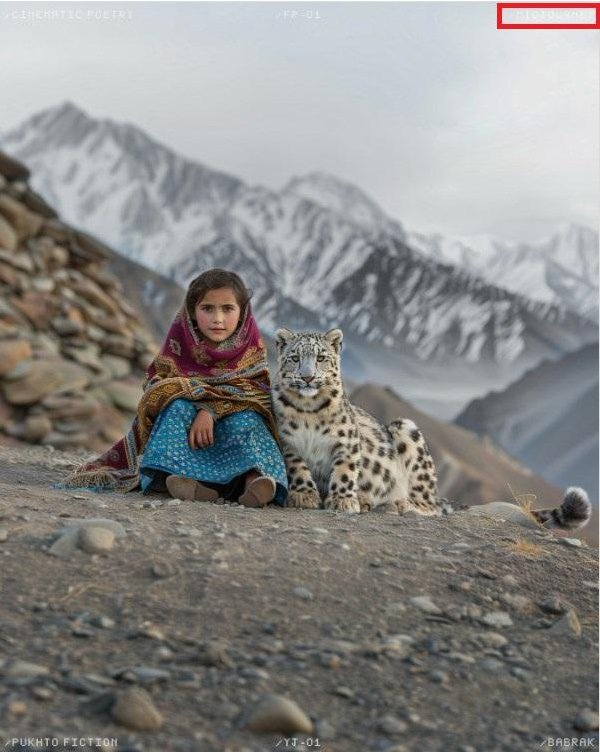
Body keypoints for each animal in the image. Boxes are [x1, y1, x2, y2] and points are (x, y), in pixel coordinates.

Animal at [272, 327, 593, 530]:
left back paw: (396, 503)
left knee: (430, 505)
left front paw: (342, 500)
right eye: (295, 358)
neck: (309, 411)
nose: (308, 377)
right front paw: (305, 495)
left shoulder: (346, 442)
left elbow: (344, 470)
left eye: (321, 357)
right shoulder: (287, 442)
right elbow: (298, 467)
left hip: (407, 431)